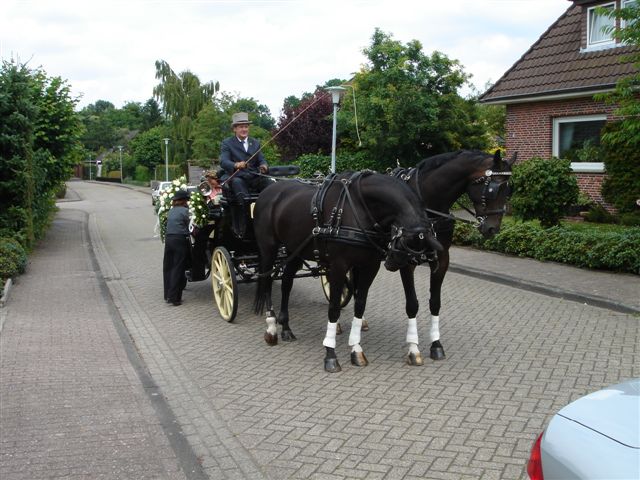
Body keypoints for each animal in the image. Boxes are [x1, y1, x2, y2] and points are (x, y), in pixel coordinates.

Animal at [252, 171, 442, 374]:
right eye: (405, 243)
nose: (391, 264)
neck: (359, 207)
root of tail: (269, 190)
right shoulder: (339, 266)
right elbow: (334, 309)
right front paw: (330, 354)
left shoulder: (370, 266)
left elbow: (360, 305)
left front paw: (356, 349)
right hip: (269, 248)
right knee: (267, 283)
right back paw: (271, 328)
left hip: (294, 249)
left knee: (287, 282)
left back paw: (286, 328)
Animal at [390, 149, 516, 364]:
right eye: (493, 189)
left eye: (509, 190)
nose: (493, 229)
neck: (427, 207)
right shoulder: (406, 261)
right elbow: (412, 304)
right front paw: (413, 349)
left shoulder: (441, 260)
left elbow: (435, 303)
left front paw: (436, 345)